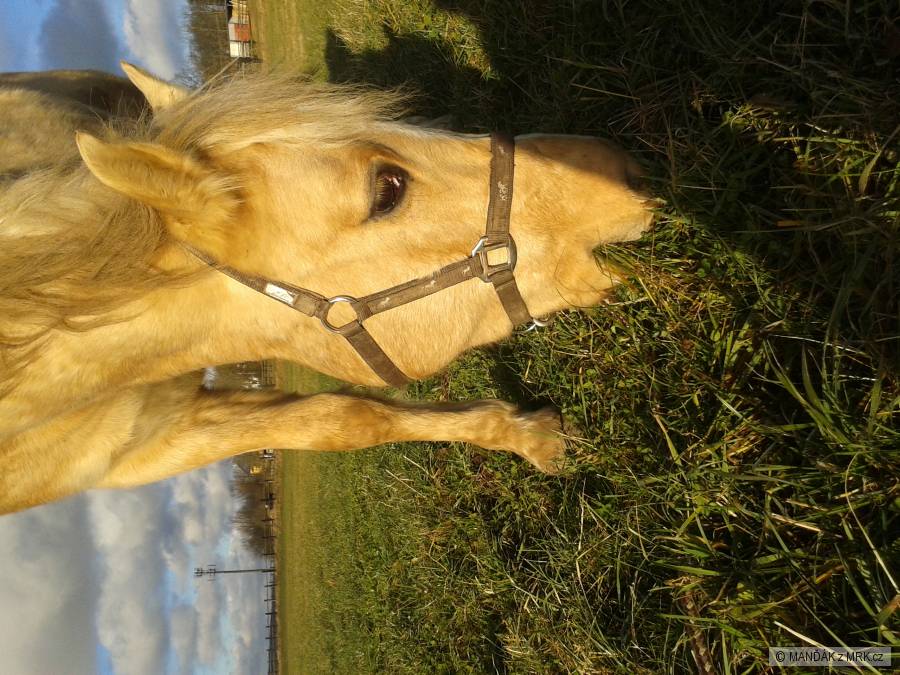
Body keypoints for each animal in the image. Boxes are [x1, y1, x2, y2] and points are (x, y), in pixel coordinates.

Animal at [0, 63, 651, 514]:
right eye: (386, 188)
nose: (622, 168)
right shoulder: (131, 462)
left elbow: (345, 419)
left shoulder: (155, 433)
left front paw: (527, 436)